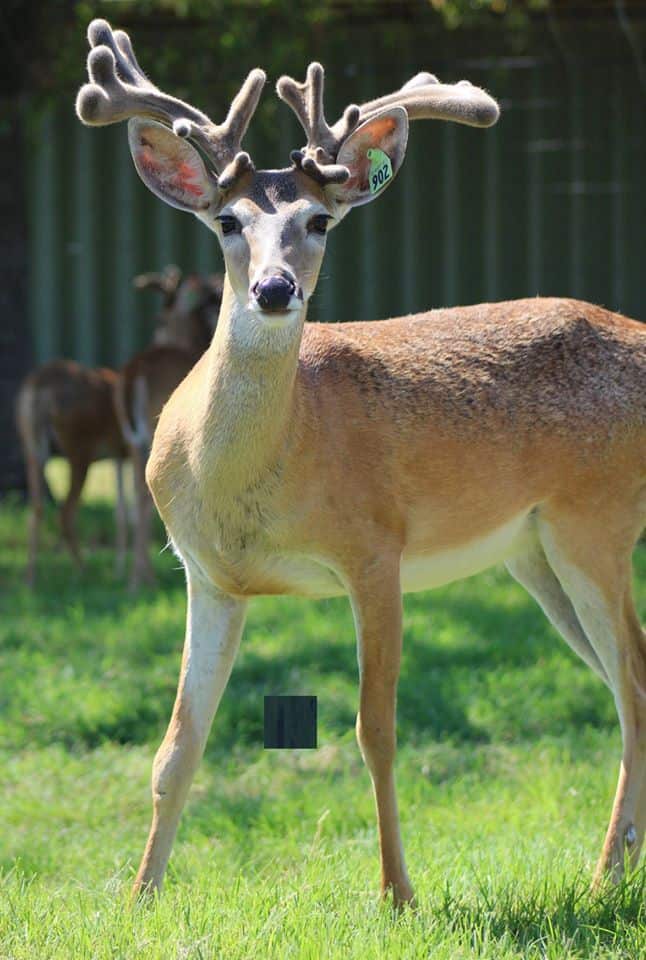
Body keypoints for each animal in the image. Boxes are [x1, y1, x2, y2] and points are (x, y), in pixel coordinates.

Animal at [77, 19, 646, 907]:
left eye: (318, 221)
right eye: (228, 220)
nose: (275, 290)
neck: (258, 476)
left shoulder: (377, 549)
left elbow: (375, 728)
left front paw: (399, 894)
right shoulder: (206, 575)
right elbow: (178, 744)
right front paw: (140, 895)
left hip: (599, 518)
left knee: (634, 685)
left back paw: (599, 878)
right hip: (535, 551)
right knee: (629, 686)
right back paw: (618, 867)